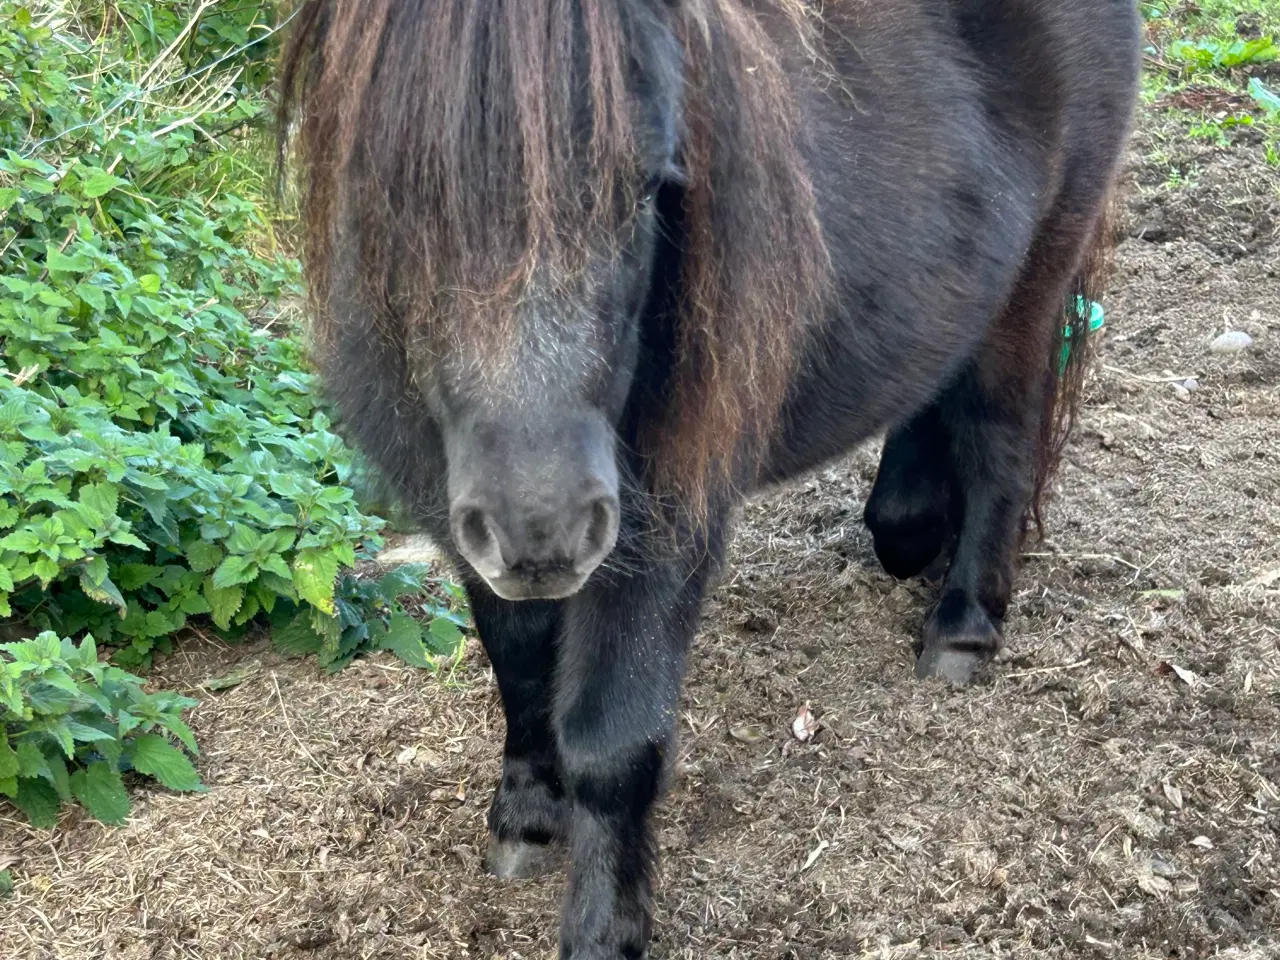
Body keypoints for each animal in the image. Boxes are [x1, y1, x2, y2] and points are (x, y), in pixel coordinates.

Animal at [280, 3, 1141, 957]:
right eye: (399, 193)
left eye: (647, 188)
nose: (542, 529)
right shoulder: (464, 526)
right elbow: (519, 669)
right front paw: (526, 816)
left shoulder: (663, 524)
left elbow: (612, 742)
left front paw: (604, 929)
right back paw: (912, 526)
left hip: (1031, 286)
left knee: (1000, 439)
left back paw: (961, 627)